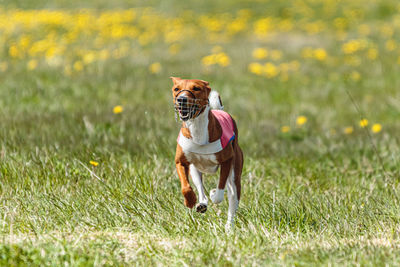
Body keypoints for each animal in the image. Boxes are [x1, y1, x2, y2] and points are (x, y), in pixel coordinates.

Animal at [170, 77, 244, 230]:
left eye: (196, 88)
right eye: (176, 89)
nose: (181, 99)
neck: (197, 128)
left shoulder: (227, 160)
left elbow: (220, 191)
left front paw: (214, 193)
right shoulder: (181, 162)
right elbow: (185, 187)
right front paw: (190, 201)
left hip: (235, 176)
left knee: (232, 200)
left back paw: (229, 227)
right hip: (195, 169)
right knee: (200, 189)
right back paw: (202, 203)